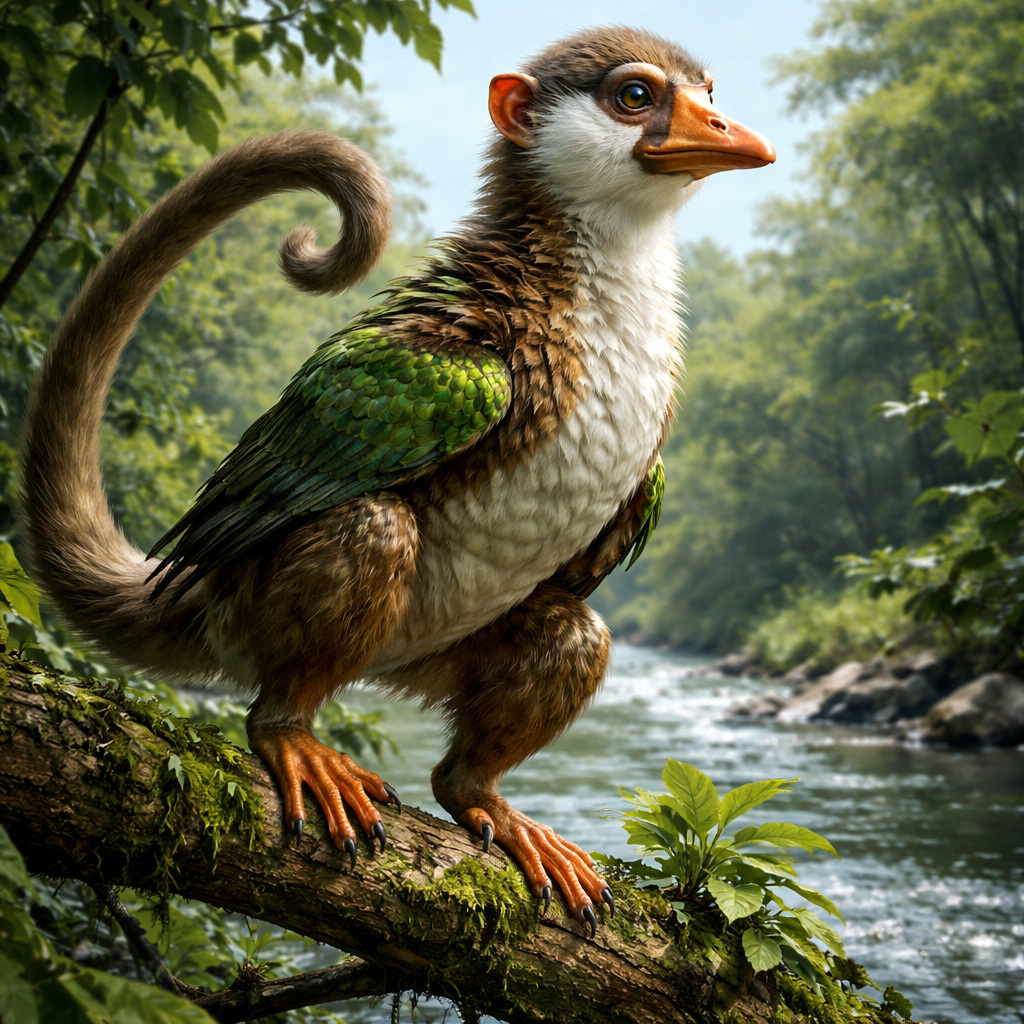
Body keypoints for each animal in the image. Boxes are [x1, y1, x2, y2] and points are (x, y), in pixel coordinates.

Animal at [19, 26, 774, 935]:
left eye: (709, 95)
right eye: (636, 97)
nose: (731, 131)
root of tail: (204, 604)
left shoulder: (649, 473)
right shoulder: (446, 377)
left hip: (429, 657)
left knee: (572, 635)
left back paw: (480, 792)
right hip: (253, 604)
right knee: (370, 528)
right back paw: (288, 731)